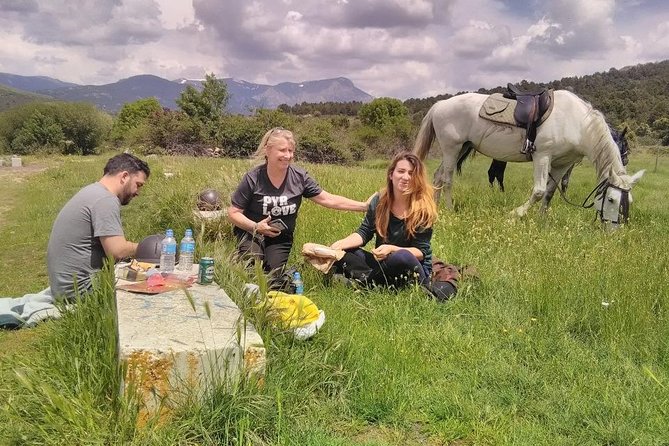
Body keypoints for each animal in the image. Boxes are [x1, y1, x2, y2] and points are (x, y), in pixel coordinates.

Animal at [410, 91, 644, 221]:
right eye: (611, 199)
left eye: (630, 200)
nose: (613, 231)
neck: (576, 123)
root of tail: (440, 105)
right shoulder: (542, 157)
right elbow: (539, 191)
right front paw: (515, 215)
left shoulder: (562, 164)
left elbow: (549, 193)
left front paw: (541, 222)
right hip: (452, 148)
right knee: (447, 179)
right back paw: (450, 210)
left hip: (459, 149)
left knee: (438, 177)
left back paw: (435, 208)